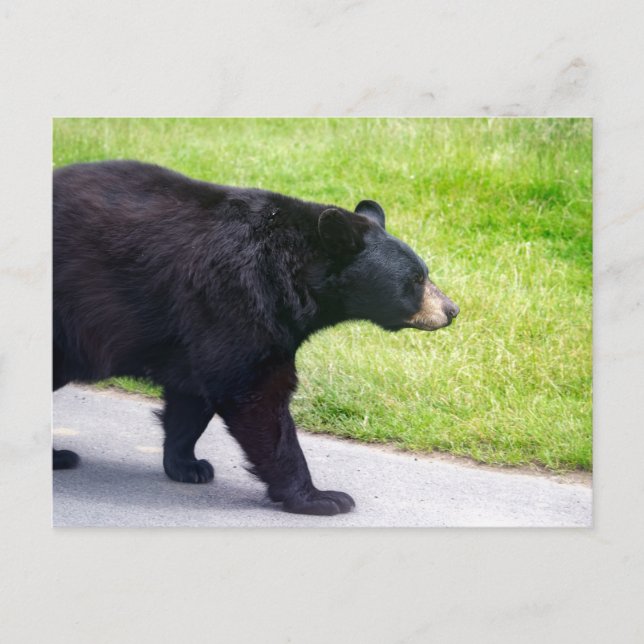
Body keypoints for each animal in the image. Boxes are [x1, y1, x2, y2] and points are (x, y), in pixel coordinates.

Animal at [53, 160, 459, 515]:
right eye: (415, 280)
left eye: (425, 273)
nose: (451, 310)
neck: (293, 273)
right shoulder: (236, 296)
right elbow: (255, 394)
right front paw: (321, 498)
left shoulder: (201, 329)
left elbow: (193, 396)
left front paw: (188, 464)